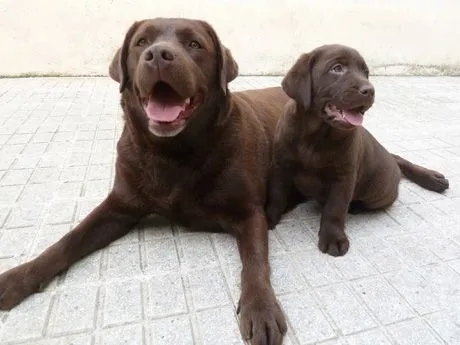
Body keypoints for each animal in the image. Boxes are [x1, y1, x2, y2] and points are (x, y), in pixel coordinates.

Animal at [0, 18, 288, 344]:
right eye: (141, 42)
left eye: (194, 44)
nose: (159, 54)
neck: (173, 153)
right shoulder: (118, 206)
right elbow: (68, 240)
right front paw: (20, 276)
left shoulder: (249, 213)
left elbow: (255, 262)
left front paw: (261, 308)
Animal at [266, 44, 450, 255]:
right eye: (337, 68)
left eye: (366, 73)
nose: (370, 90)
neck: (315, 135)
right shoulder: (281, 166)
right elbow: (276, 194)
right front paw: (268, 218)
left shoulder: (344, 177)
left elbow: (335, 209)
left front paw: (333, 237)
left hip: (380, 195)